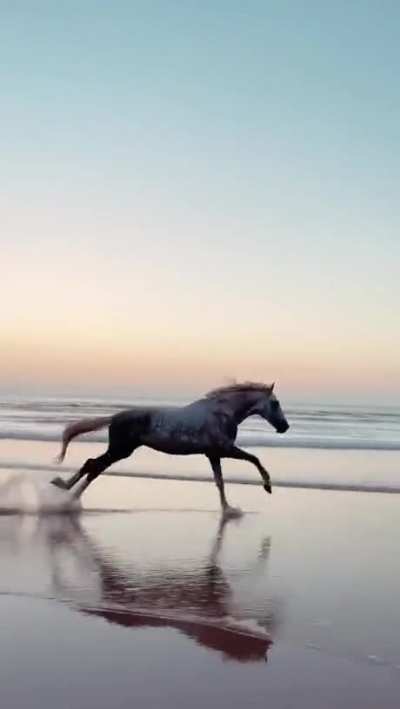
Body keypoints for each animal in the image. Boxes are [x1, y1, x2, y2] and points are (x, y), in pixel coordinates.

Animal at [51, 381, 289, 515]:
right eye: (275, 403)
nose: (285, 427)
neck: (222, 414)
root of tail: (114, 418)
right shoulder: (225, 449)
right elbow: (255, 459)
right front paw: (267, 487)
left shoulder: (213, 454)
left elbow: (220, 482)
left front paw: (228, 510)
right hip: (121, 450)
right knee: (94, 466)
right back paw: (67, 496)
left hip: (121, 451)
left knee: (94, 467)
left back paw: (67, 493)